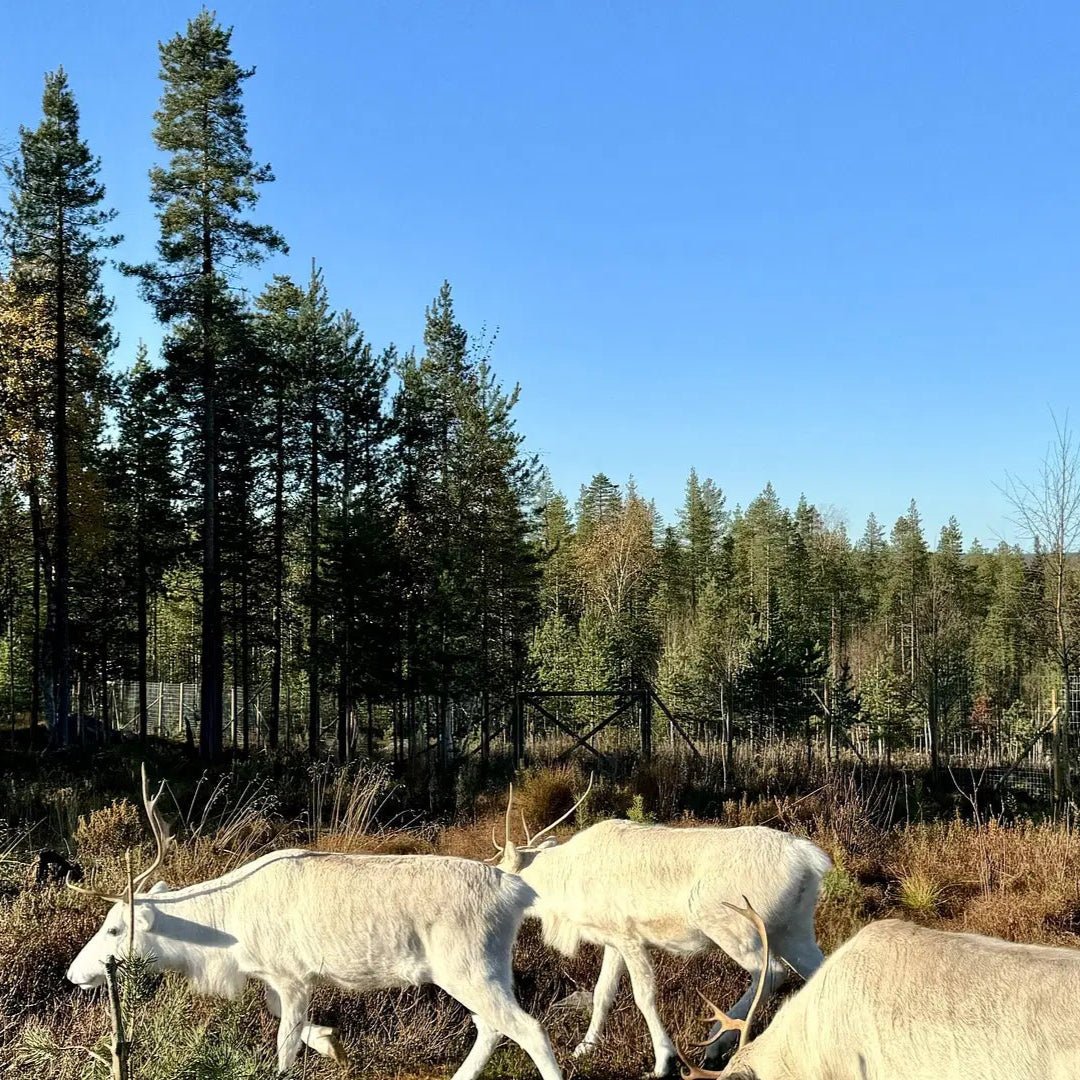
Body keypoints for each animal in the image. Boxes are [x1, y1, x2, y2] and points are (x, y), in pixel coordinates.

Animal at [67, 766, 564, 1080]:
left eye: (114, 928)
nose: (74, 973)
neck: (226, 942)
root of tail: (517, 891)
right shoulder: (281, 978)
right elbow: (282, 1017)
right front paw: (331, 1042)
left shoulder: (292, 974)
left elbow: (284, 1044)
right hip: (479, 970)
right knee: (491, 1028)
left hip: (468, 968)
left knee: (529, 1029)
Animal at [492, 778, 831, 1076]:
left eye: (500, 869)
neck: (561, 888)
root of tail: (810, 859)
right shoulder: (613, 941)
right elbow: (602, 993)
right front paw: (584, 1047)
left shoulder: (630, 937)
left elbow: (643, 996)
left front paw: (663, 1061)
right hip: (793, 930)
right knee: (818, 970)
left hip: (733, 927)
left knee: (771, 972)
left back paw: (715, 1044)